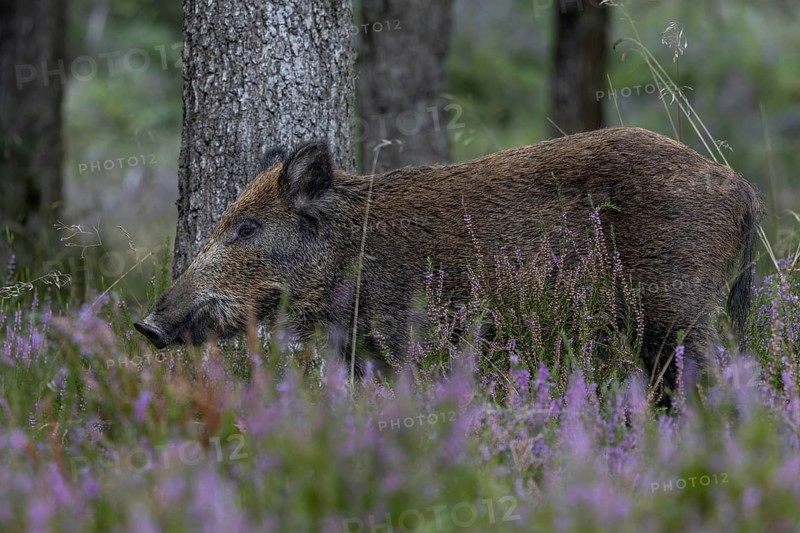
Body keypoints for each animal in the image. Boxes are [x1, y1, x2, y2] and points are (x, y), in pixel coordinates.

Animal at [135, 127, 762, 400]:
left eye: (246, 228)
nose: (145, 324)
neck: (347, 253)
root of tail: (741, 188)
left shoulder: (403, 335)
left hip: (675, 305)